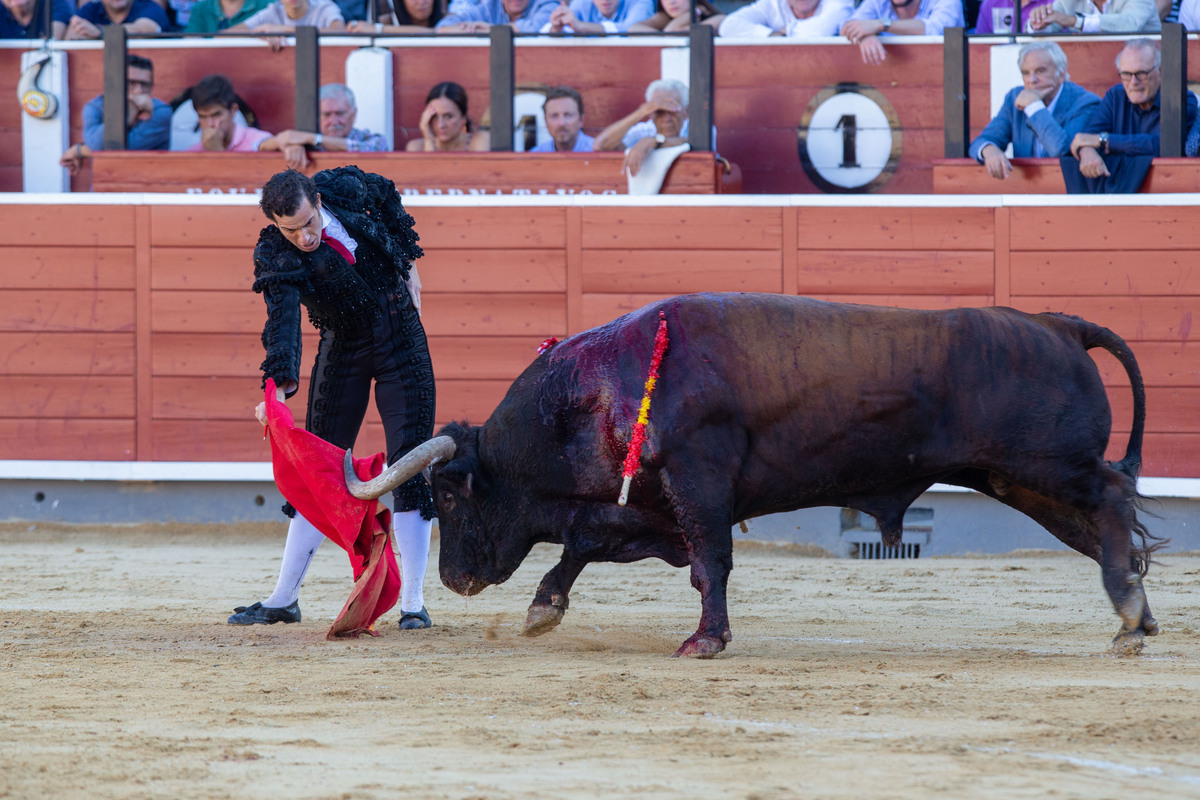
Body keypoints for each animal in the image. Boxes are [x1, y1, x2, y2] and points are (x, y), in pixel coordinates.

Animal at [345, 293, 1161, 657]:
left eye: (451, 494)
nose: (454, 580)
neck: (597, 389)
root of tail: (1058, 324)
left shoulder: (697, 483)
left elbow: (713, 560)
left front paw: (705, 641)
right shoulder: (647, 501)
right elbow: (586, 545)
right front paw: (544, 608)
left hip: (1044, 466)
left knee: (1112, 499)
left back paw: (1127, 610)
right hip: (1021, 480)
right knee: (1104, 527)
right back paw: (1136, 620)